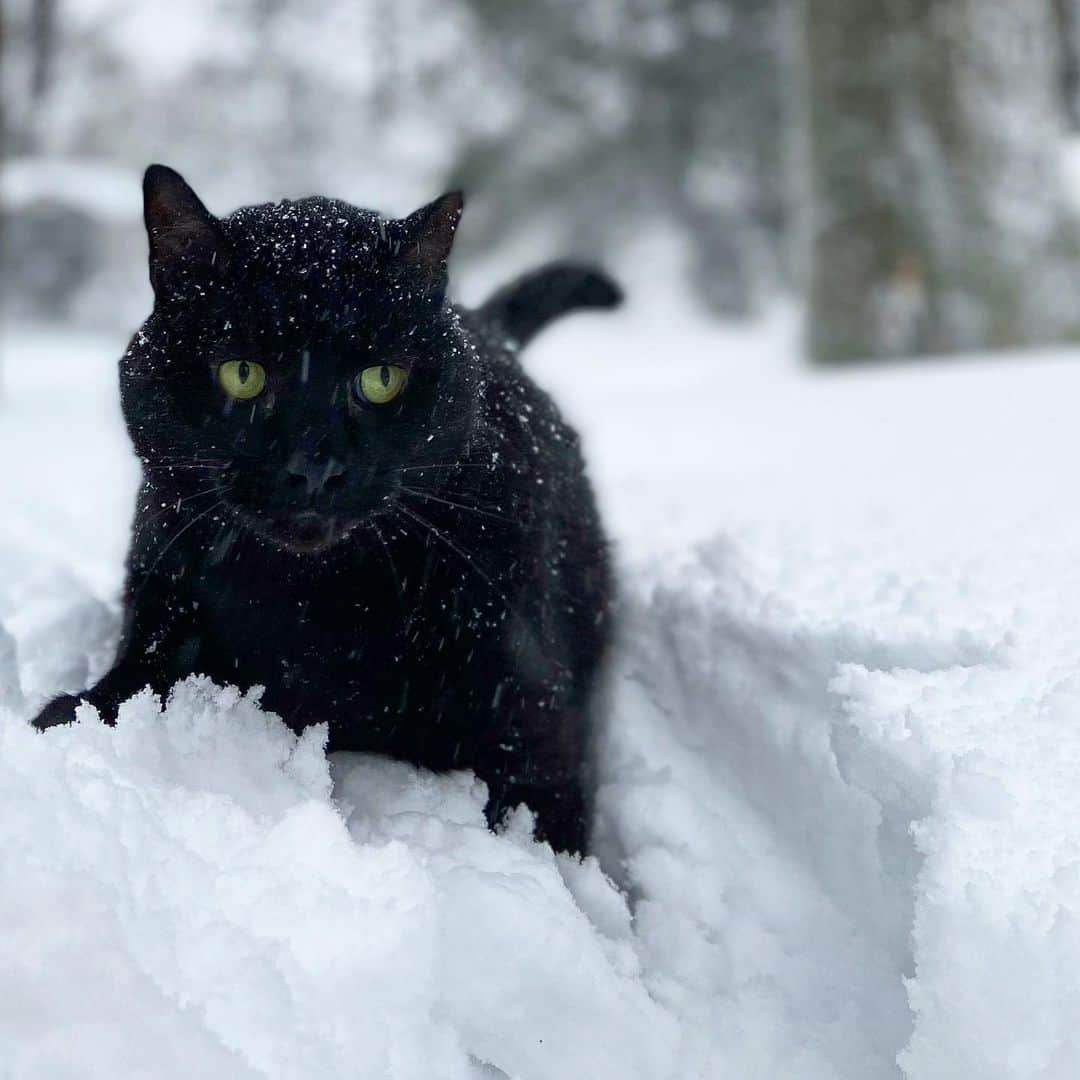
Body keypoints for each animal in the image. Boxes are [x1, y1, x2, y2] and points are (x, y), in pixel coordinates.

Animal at [31, 164, 617, 855]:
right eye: (243, 374)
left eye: (380, 379)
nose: (315, 464)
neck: (318, 607)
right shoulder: (164, 600)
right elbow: (128, 683)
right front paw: (69, 714)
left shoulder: (530, 715)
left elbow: (548, 828)